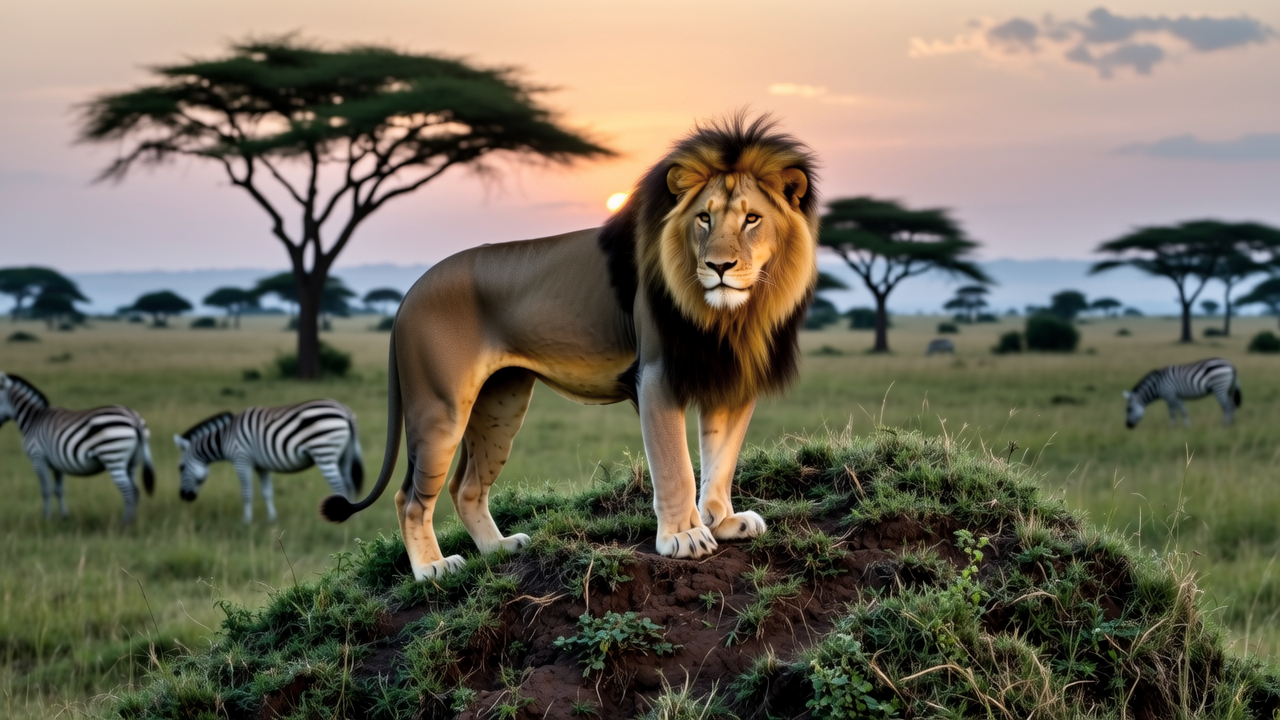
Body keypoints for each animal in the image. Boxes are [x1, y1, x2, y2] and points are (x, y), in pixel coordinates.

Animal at [321, 116, 819, 580]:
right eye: (704, 218)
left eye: (752, 219)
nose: (718, 266)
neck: (730, 317)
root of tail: (409, 293)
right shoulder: (656, 374)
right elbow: (674, 464)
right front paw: (684, 537)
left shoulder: (729, 377)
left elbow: (721, 460)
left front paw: (724, 522)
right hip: (439, 407)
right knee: (409, 496)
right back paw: (432, 569)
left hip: (500, 404)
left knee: (465, 486)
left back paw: (499, 549)